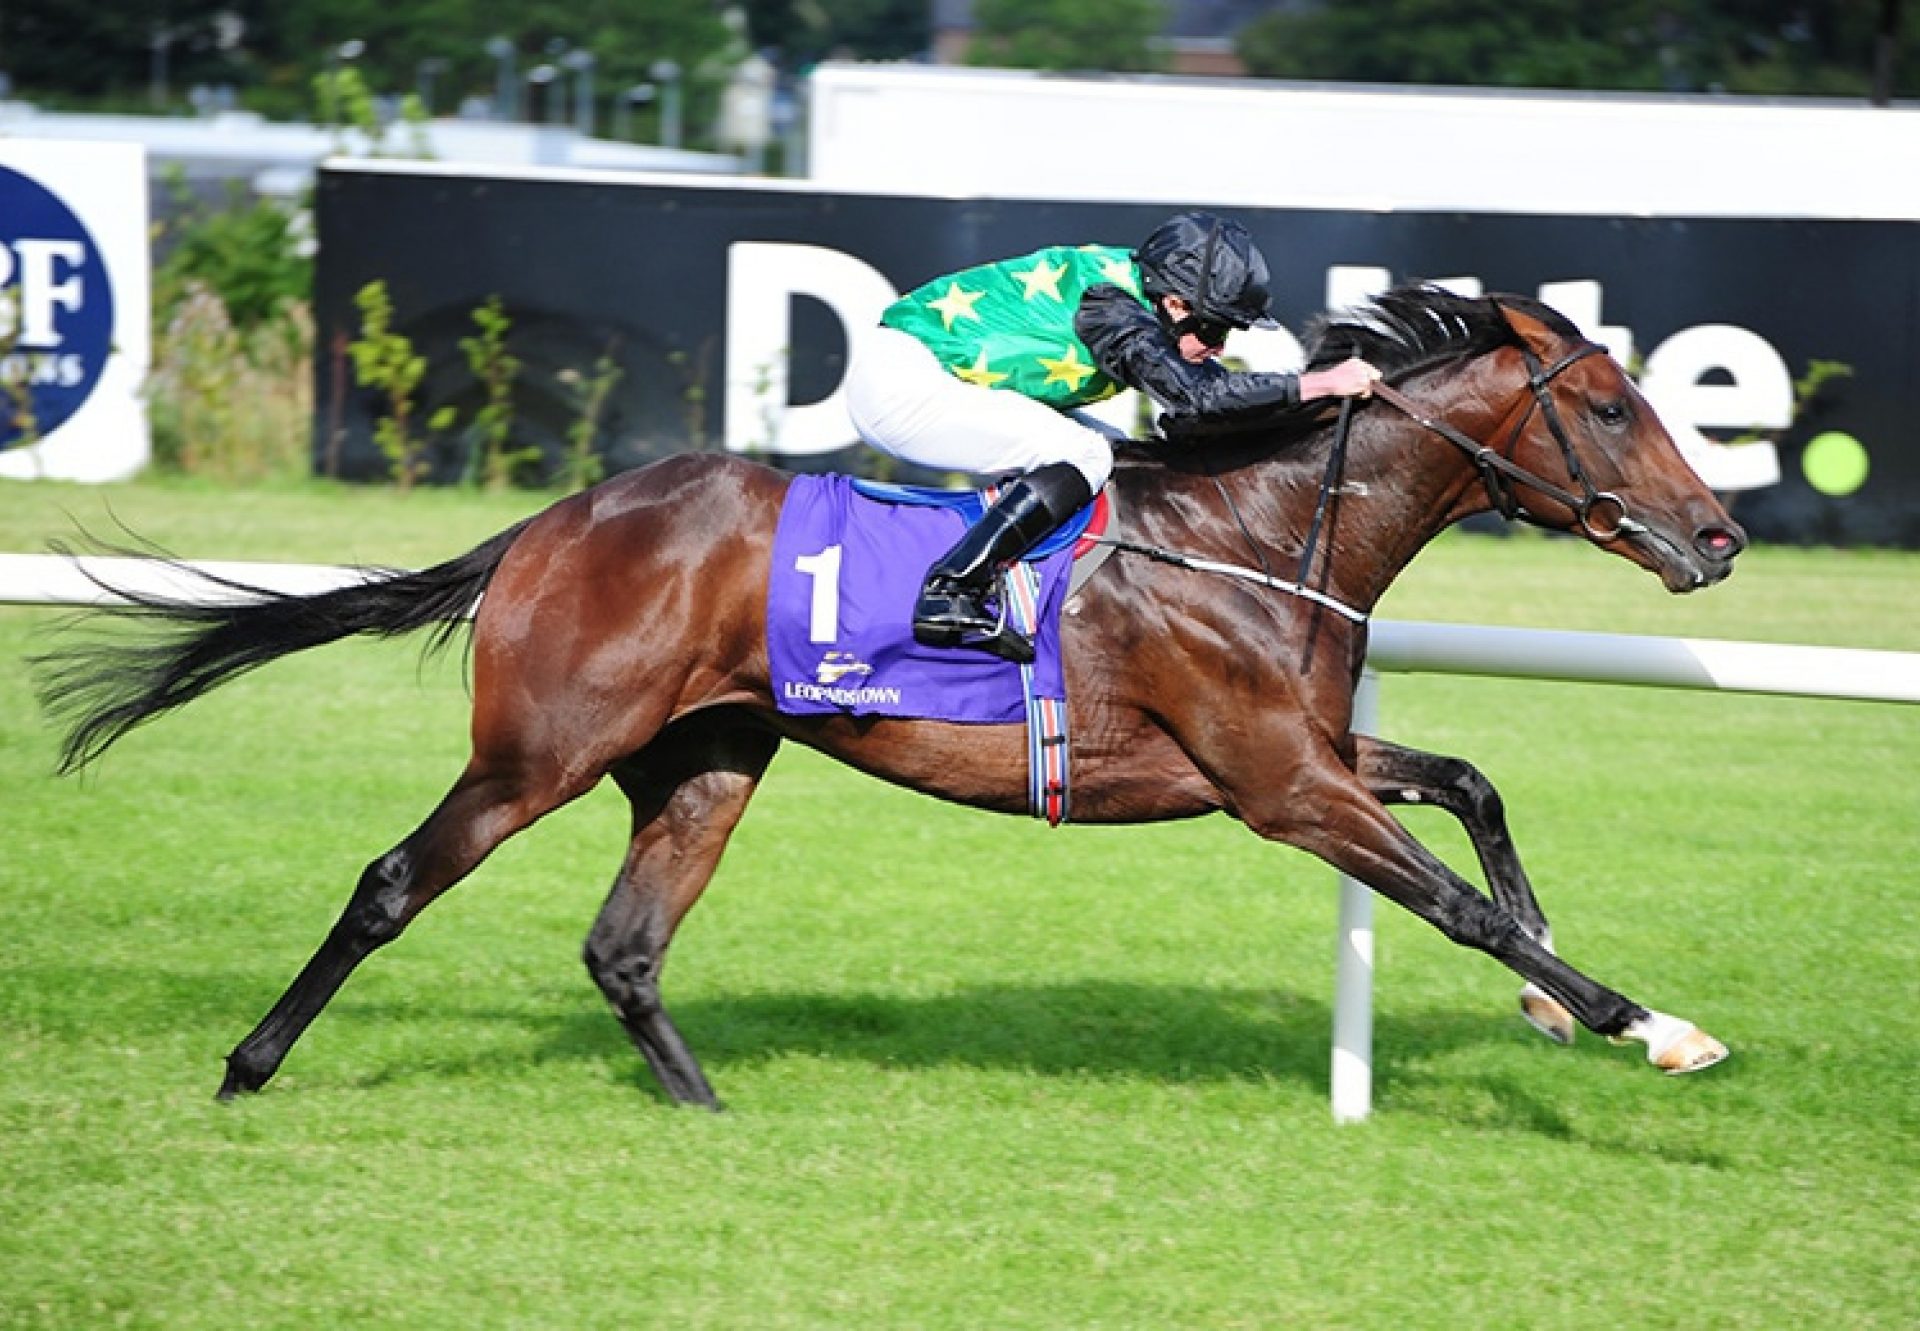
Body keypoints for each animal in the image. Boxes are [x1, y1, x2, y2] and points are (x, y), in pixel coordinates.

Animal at [33, 286, 1743, 1106]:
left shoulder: (1311, 749)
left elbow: (1473, 788)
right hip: (537, 748)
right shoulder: (1280, 784)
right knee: (394, 880)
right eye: (1607, 405)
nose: (1721, 536)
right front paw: (1646, 1021)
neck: (1256, 529)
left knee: (625, 948)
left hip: (707, 760)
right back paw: (249, 1066)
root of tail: (550, 526)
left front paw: (1556, 995)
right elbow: (1455, 898)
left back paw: (714, 1115)